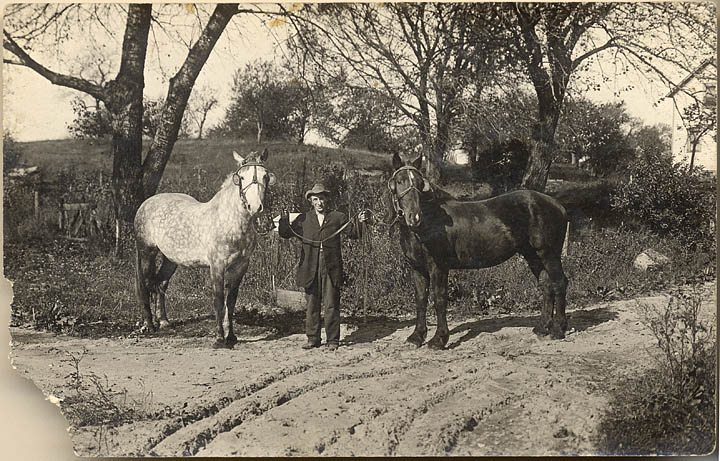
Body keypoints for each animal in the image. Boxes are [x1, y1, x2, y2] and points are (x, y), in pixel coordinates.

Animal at [388, 153, 568, 346]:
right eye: (399, 181)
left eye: (420, 183)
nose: (414, 217)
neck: (429, 223)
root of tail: (557, 204)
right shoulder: (417, 268)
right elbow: (421, 299)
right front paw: (417, 336)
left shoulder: (439, 268)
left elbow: (439, 299)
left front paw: (439, 338)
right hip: (533, 256)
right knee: (546, 284)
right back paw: (542, 328)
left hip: (549, 254)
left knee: (559, 283)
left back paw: (558, 329)